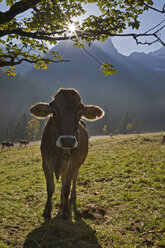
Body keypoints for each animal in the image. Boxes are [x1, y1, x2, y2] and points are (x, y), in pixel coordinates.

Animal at [30, 87, 104, 219]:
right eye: (54, 112)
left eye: (80, 113)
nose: (67, 140)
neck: (58, 152)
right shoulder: (45, 163)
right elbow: (50, 188)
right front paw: (47, 210)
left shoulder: (72, 164)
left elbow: (66, 189)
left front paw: (65, 211)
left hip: (78, 165)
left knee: (73, 180)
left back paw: (72, 196)